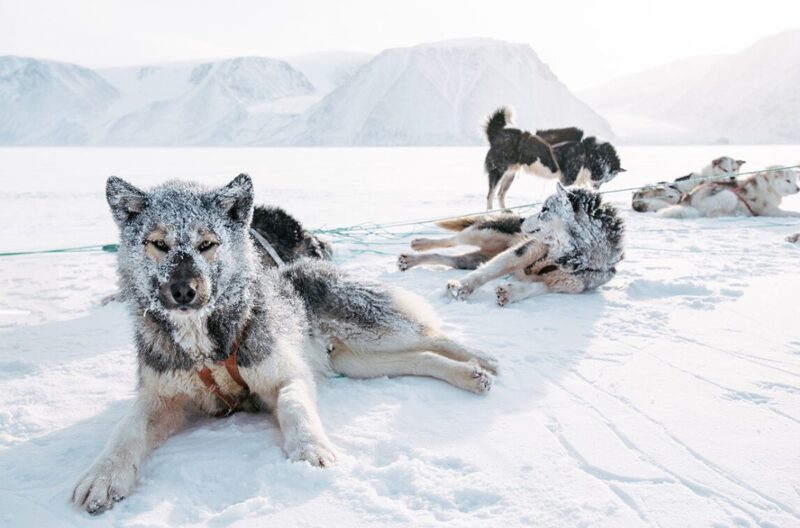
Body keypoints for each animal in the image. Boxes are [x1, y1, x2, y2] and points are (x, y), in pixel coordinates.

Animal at [72, 175, 496, 512]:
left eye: (207, 243)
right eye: (158, 244)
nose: (183, 290)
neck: (206, 344)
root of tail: (309, 264)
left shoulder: (285, 376)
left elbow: (295, 407)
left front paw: (311, 451)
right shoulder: (161, 396)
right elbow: (126, 430)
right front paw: (103, 476)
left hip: (373, 328)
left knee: (432, 336)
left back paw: (481, 359)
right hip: (358, 360)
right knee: (422, 359)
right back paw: (469, 375)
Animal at [400, 184, 624, 306]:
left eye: (544, 209)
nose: (522, 220)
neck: (567, 256)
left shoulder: (569, 283)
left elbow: (535, 288)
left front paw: (510, 293)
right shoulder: (524, 251)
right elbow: (488, 271)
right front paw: (462, 287)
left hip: (473, 258)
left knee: (449, 259)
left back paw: (412, 260)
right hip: (482, 233)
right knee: (453, 241)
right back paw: (419, 245)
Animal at [482, 108, 624, 210]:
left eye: (607, 181)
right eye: (604, 177)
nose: (597, 188)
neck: (587, 151)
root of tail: (497, 134)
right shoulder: (567, 180)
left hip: (509, 175)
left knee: (500, 195)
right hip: (498, 172)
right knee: (490, 195)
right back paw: (490, 213)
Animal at [656, 167, 800, 221]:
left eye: (794, 180)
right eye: (787, 180)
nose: (798, 189)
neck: (770, 186)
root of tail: (689, 197)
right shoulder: (770, 210)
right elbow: (791, 213)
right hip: (729, 196)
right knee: (712, 214)